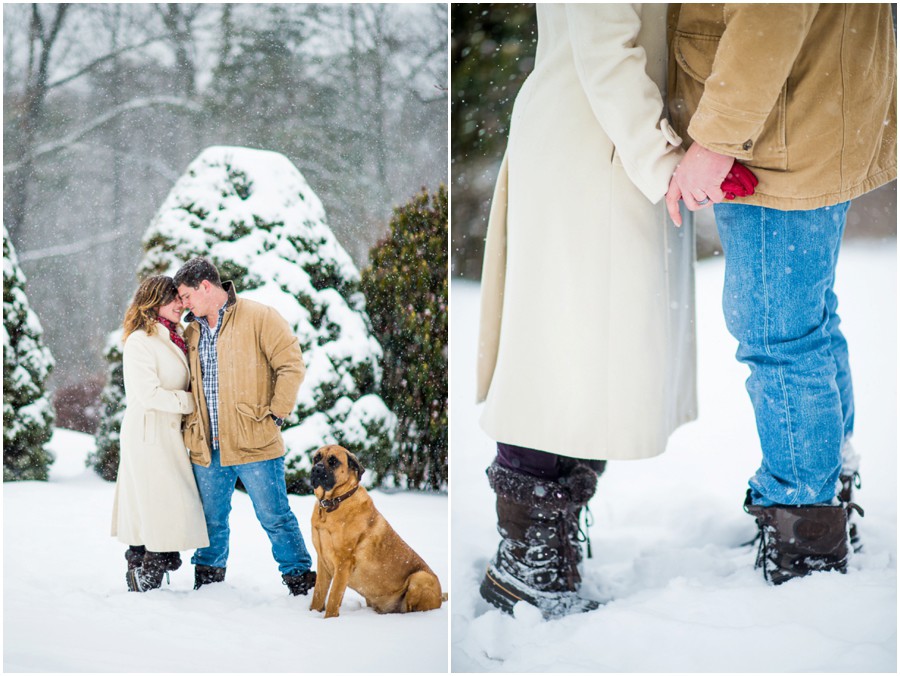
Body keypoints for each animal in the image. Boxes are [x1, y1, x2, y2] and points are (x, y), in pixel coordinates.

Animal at [310, 444, 446, 616]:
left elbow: (333, 599)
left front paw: (328, 619)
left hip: (420, 578)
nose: (316, 469)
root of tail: (440, 597)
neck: (332, 504)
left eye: (333, 461)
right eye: (316, 458)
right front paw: (312, 613)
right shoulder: (323, 561)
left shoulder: (342, 563)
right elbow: (318, 594)